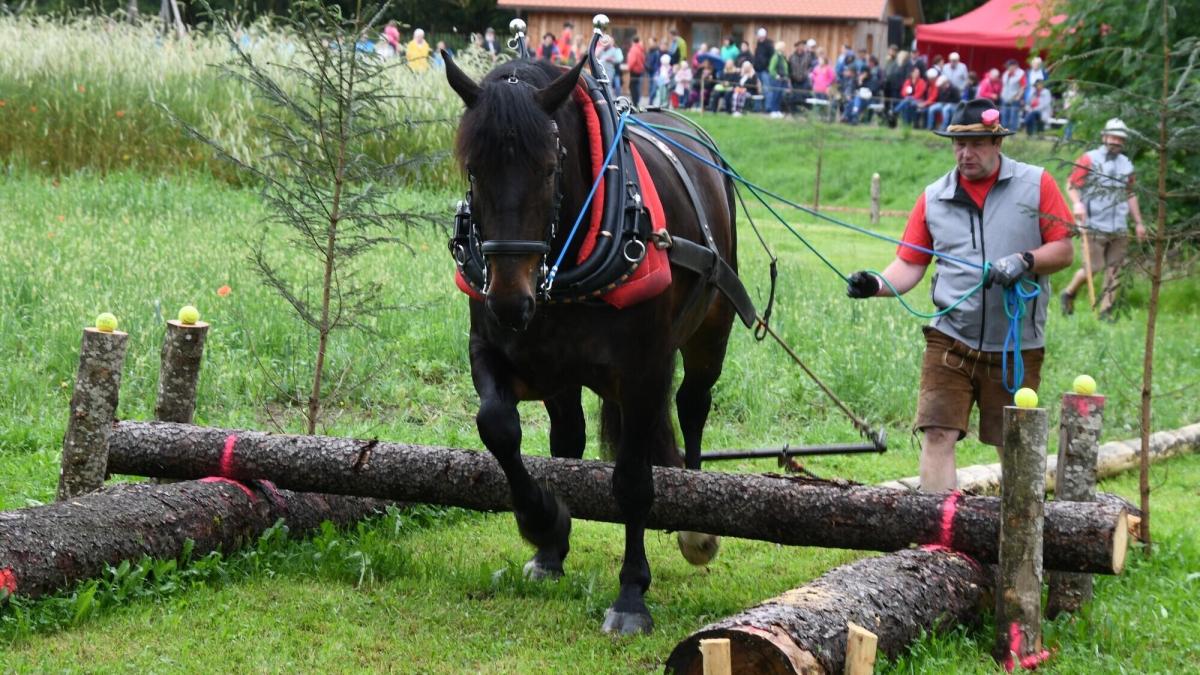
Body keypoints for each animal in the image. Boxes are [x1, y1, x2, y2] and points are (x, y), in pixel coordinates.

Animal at [446, 55, 734, 634]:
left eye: (548, 168)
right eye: (474, 169)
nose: (509, 302)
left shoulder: (645, 369)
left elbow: (632, 481)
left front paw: (631, 595)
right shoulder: (497, 349)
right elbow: (498, 427)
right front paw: (544, 523)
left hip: (710, 331)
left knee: (693, 406)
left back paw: (696, 524)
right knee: (568, 439)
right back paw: (552, 552)